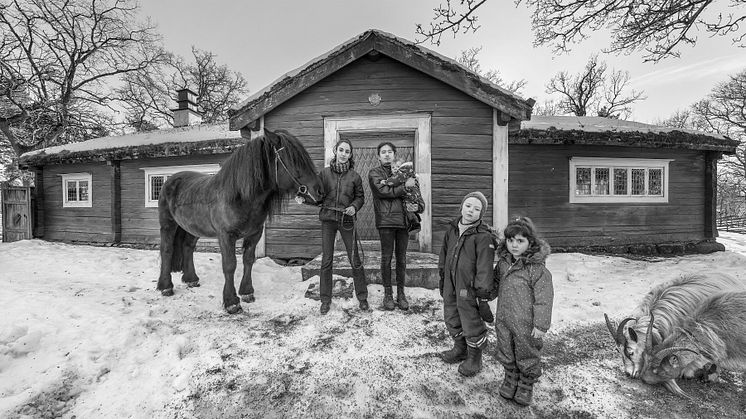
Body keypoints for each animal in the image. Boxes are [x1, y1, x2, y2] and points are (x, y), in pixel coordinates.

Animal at [155, 130, 322, 314]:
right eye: (293, 160)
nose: (320, 191)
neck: (240, 196)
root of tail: (171, 180)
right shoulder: (226, 236)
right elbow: (229, 265)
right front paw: (231, 301)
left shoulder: (255, 234)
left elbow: (248, 260)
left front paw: (247, 292)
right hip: (168, 224)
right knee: (167, 250)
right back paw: (166, 286)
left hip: (193, 227)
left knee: (188, 247)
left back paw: (191, 279)